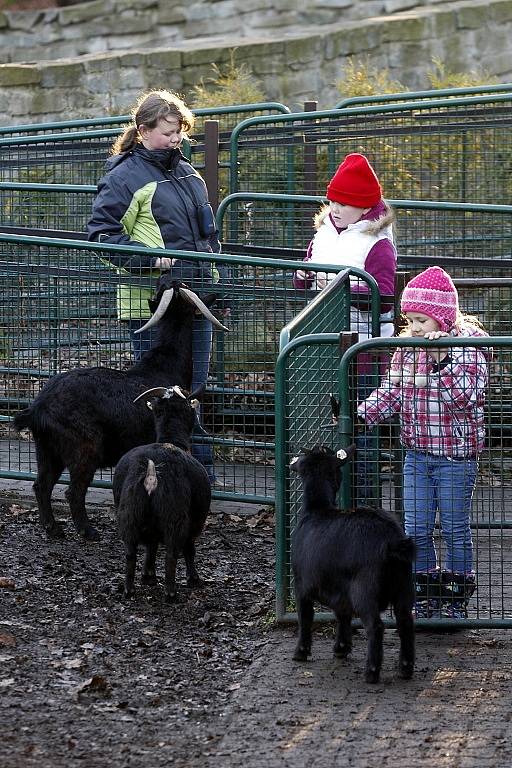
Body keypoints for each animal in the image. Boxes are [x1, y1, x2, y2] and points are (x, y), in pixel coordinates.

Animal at [12, 276, 227, 540]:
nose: (171, 278)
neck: (164, 365)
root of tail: (38, 407)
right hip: (84, 449)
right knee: (73, 491)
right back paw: (88, 531)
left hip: (46, 450)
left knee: (41, 485)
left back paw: (53, 529)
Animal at [113, 384, 211, 600]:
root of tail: (151, 476)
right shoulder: (195, 522)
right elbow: (189, 549)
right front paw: (193, 579)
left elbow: (151, 546)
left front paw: (148, 576)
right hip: (175, 517)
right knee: (172, 553)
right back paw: (171, 593)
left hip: (129, 513)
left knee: (130, 552)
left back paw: (129, 590)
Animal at [290, 444, 414, 684]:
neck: (317, 509)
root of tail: (393, 542)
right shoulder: (339, 590)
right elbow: (342, 614)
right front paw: (341, 648)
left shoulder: (301, 585)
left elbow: (305, 617)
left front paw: (301, 652)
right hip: (404, 585)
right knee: (405, 620)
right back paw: (405, 668)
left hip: (365, 590)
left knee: (376, 626)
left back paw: (372, 672)